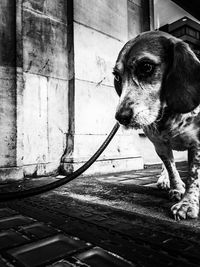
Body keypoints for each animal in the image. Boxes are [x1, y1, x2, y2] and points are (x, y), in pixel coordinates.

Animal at [114, 30, 200, 222]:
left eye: (146, 67)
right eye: (116, 76)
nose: (121, 118)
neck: (169, 115)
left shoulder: (198, 145)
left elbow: (193, 174)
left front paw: (188, 203)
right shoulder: (160, 145)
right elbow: (171, 169)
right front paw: (178, 189)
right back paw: (165, 180)